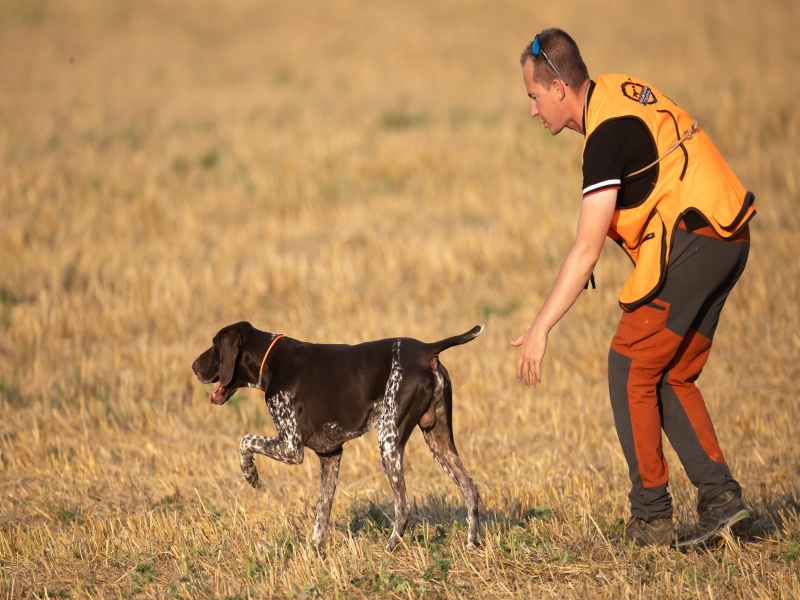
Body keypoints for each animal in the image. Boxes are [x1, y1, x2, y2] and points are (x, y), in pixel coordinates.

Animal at [191, 321, 483, 551]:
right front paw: (314, 550)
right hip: (438, 440)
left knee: (403, 506)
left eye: (215, 346)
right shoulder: (330, 455)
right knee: (470, 487)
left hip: (389, 441)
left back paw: (390, 548)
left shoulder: (290, 447)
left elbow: (245, 441)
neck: (271, 360)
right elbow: (322, 512)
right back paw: (472, 544)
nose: (193, 366)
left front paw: (250, 473)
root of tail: (426, 349)